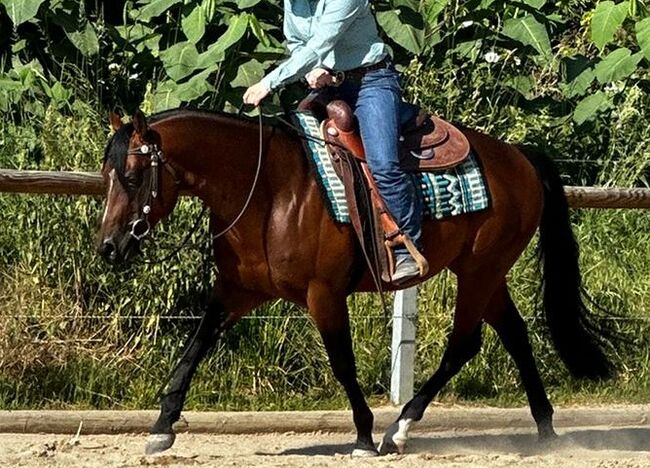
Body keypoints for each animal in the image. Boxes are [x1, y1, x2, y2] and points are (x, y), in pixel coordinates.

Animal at [96, 108, 612, 456]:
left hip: (480, 270)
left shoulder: (323, 294)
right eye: (107, 174)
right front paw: (162, 427)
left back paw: (399, 429)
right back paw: (545, 429)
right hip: (485, 272)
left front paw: (363, 433)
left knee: (465, 345)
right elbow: (194, 348)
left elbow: (342, 362)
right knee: (516, 335)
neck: (268, 191)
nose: (108, 248)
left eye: (134, 175)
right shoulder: (236, 292)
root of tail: (518, 156)